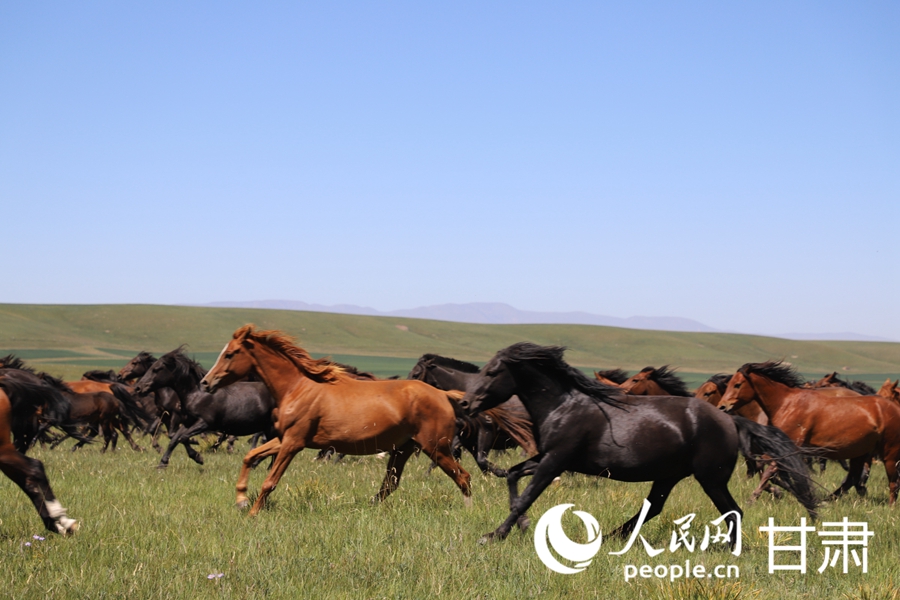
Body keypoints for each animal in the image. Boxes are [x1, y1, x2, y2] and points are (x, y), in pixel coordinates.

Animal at [201, 324, 474, 516]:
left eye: (230, 354)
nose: (205, 382)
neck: (296, 388)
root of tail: (443, 394)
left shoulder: (293, 443)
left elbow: (270, 481)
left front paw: (253, 513)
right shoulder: (284, 439)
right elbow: (250, 456)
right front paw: (241, 500)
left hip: (435, 447)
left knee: (463, 477)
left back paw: (468, 511)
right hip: (403, 449)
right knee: (390, 485)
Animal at [460, 342, 820, 544]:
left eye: (491, 372)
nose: (464, 404)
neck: (562, 406)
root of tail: (729, 419)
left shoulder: (555, 460)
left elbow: (526, 496)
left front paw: (493, 535)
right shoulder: (549, 457)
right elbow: (512, 475)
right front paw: (519, 526)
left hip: (711, 477)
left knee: (733, 512)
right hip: (670, 475)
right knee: (654, 507)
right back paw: (612, 537)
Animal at [720, 360, 900, 506]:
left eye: (737, 384)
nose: (722, 406)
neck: (786, 404)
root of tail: (894, 408)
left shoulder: (789, 447)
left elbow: (769, 472)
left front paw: (753, 498)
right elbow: (769, 470)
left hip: (889, 454)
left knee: (893, 481)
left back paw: (890, 507)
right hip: (860, 452)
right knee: (852, 478)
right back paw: (827, 500)